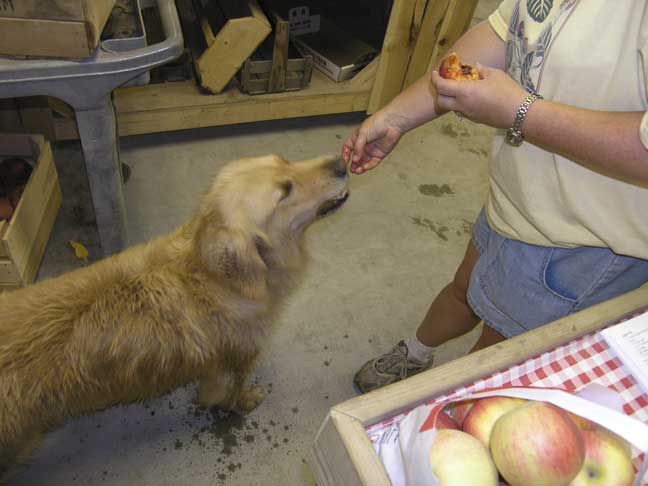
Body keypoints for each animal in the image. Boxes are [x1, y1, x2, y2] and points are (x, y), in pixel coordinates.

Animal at [0, 153, 350, 474]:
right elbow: (230, 394)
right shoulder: (233, 363)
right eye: (285, 191)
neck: (215, 277)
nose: (342, 163)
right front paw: (246, 401)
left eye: (284, 160)